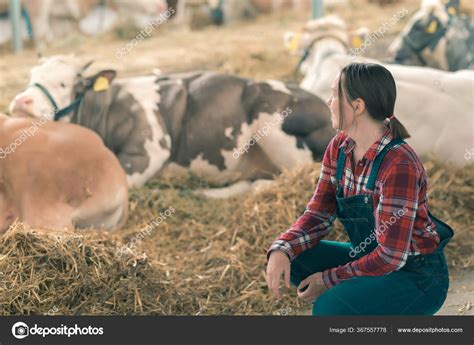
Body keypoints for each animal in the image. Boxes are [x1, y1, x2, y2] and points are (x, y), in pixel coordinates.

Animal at [7, 55, 334, 194]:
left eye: (63, 84)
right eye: (31, 75)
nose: (21, 100)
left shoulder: (149, 150)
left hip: (272, 121)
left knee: (297, 173)